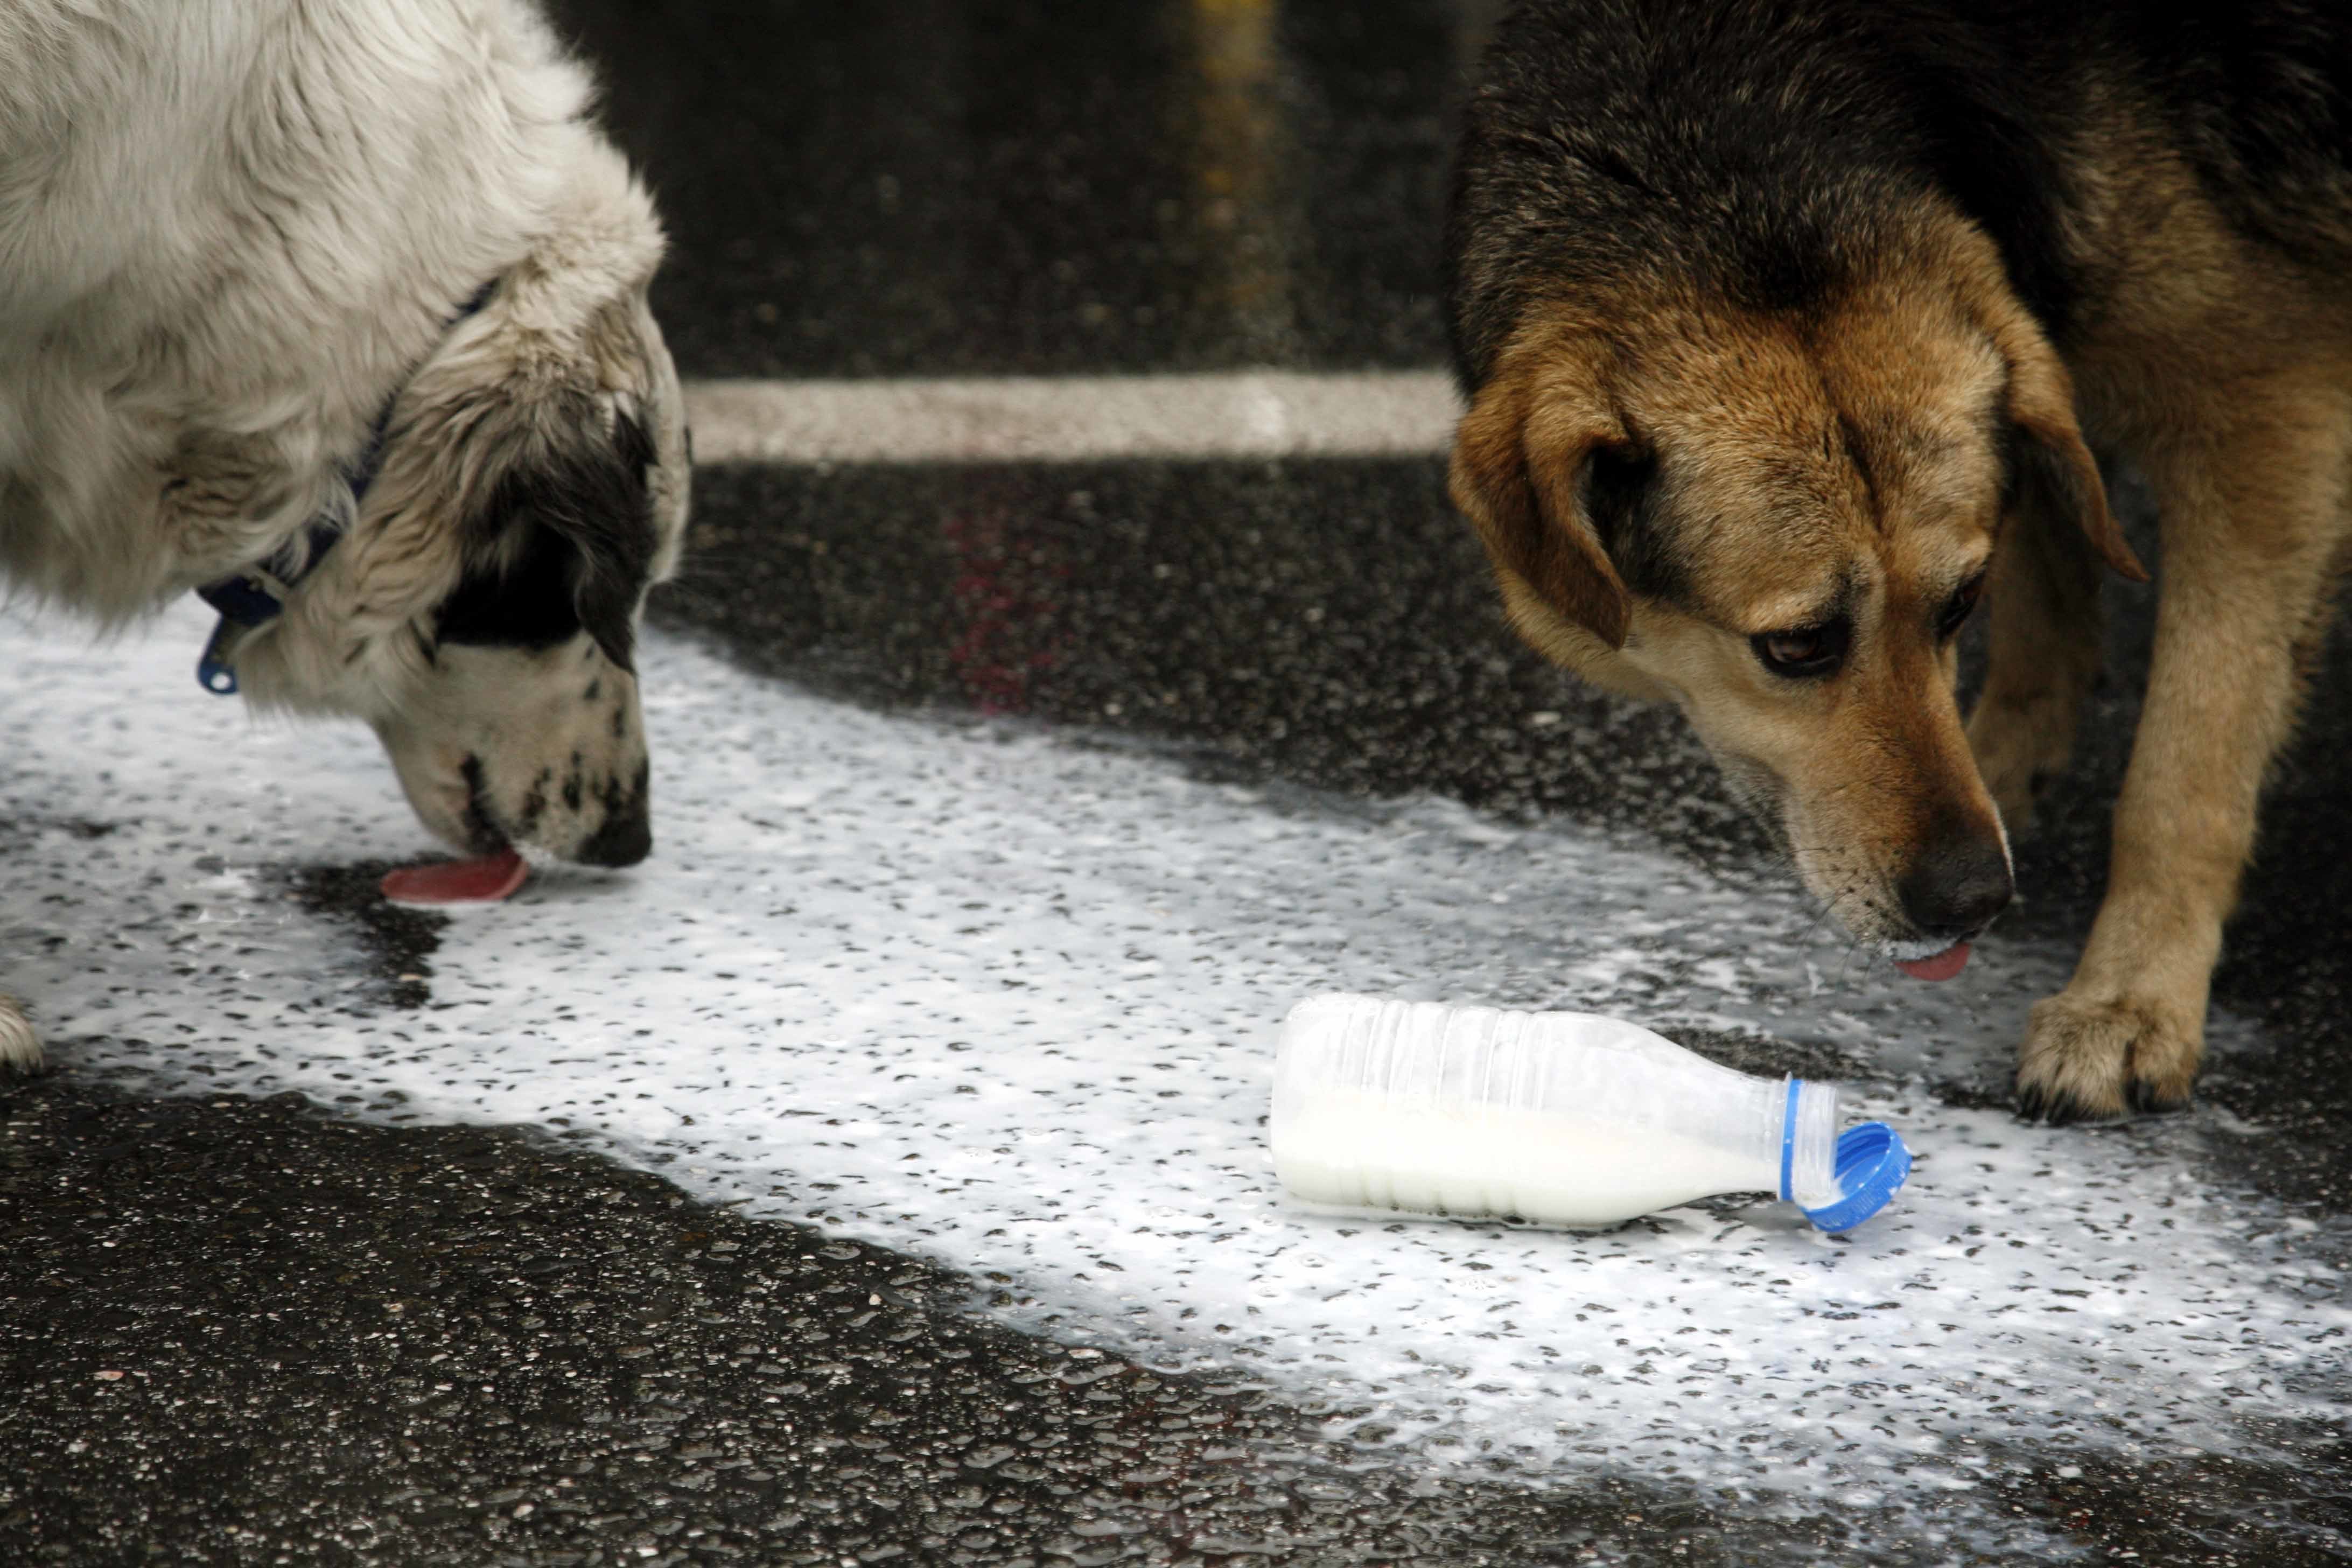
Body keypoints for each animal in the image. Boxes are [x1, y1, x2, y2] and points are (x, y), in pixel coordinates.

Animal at [1439, 3, 2352, 1128]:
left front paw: (2129, 997)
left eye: (1957, 605)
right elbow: (2047, 580)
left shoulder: (2270, 408)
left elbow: (2186, 761)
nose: (1975, 899)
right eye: (1794, 646)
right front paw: (2008, 763)